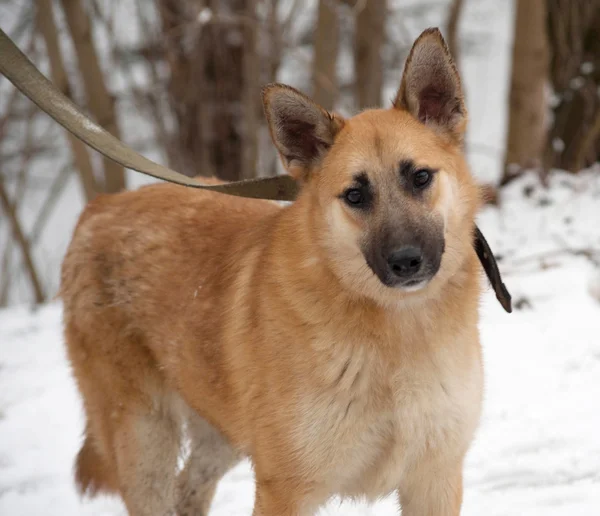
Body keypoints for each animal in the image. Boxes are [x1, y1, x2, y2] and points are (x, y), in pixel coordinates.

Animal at [62, 29, 488, 516]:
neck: (398, 330)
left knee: (189, 489)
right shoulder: (286, 490)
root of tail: (99, 207)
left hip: (219, 431)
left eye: (419, 177)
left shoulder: (434, 477)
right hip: (144, 441)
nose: (405, 261)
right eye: (355, 195)